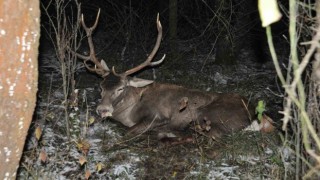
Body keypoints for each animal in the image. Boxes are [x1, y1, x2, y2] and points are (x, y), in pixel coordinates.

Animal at [75, 9, 255, 140]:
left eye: (121, 88)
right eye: (101, 87)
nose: (102, 109)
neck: (128, 112)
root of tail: (253, 114)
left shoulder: (157, 116)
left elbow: (130, 131)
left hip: (207, 113)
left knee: (209, 134)